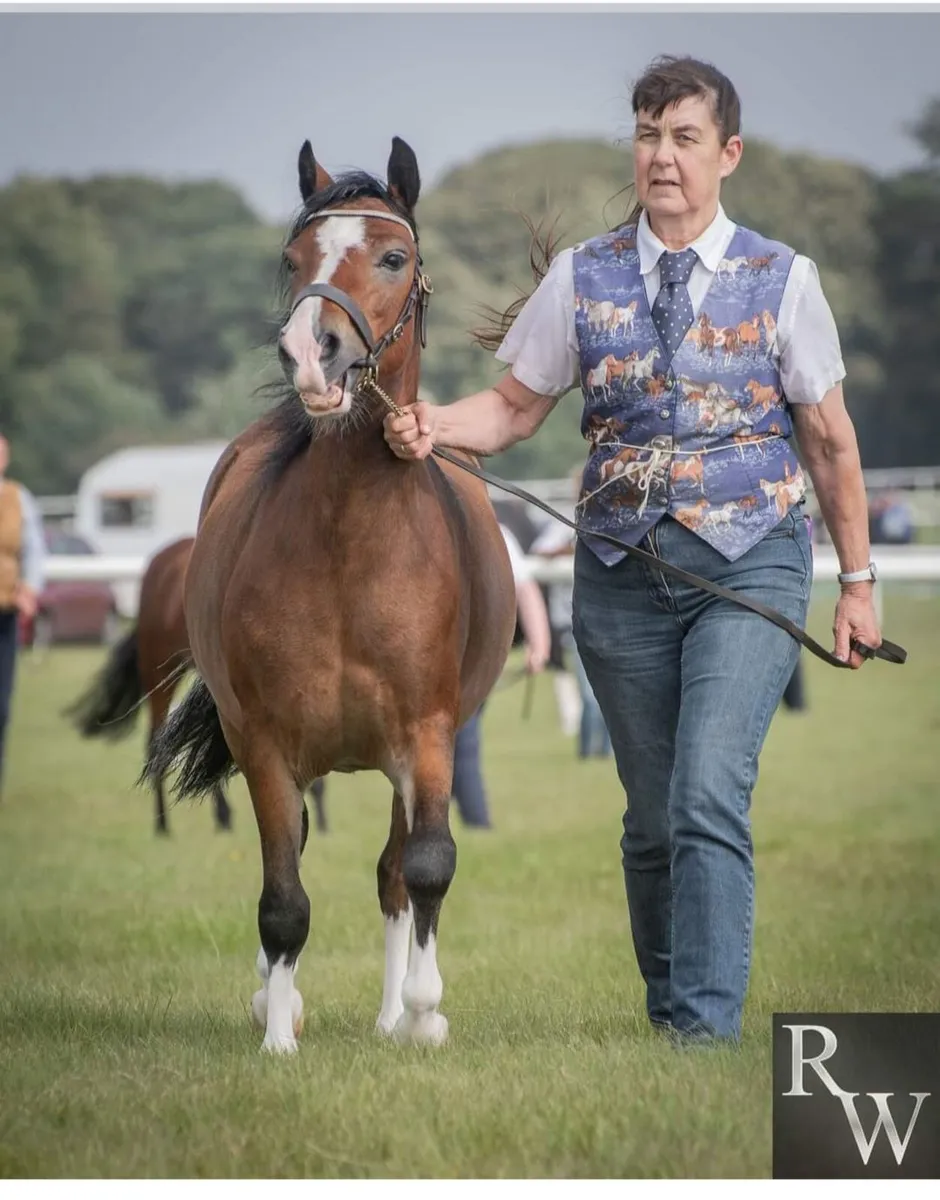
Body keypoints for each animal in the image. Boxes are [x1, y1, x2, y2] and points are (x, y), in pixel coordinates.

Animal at [145, 136, 517, 1054]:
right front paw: (278, 1034)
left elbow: (425, 867)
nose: (311, 352)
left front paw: (422, 1014)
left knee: (393, 875)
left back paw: (391, 1015)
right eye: (294, 259)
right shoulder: (264, 745)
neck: (352, 547)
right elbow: (284, 899)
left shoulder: (427, 737)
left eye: (393, 257)